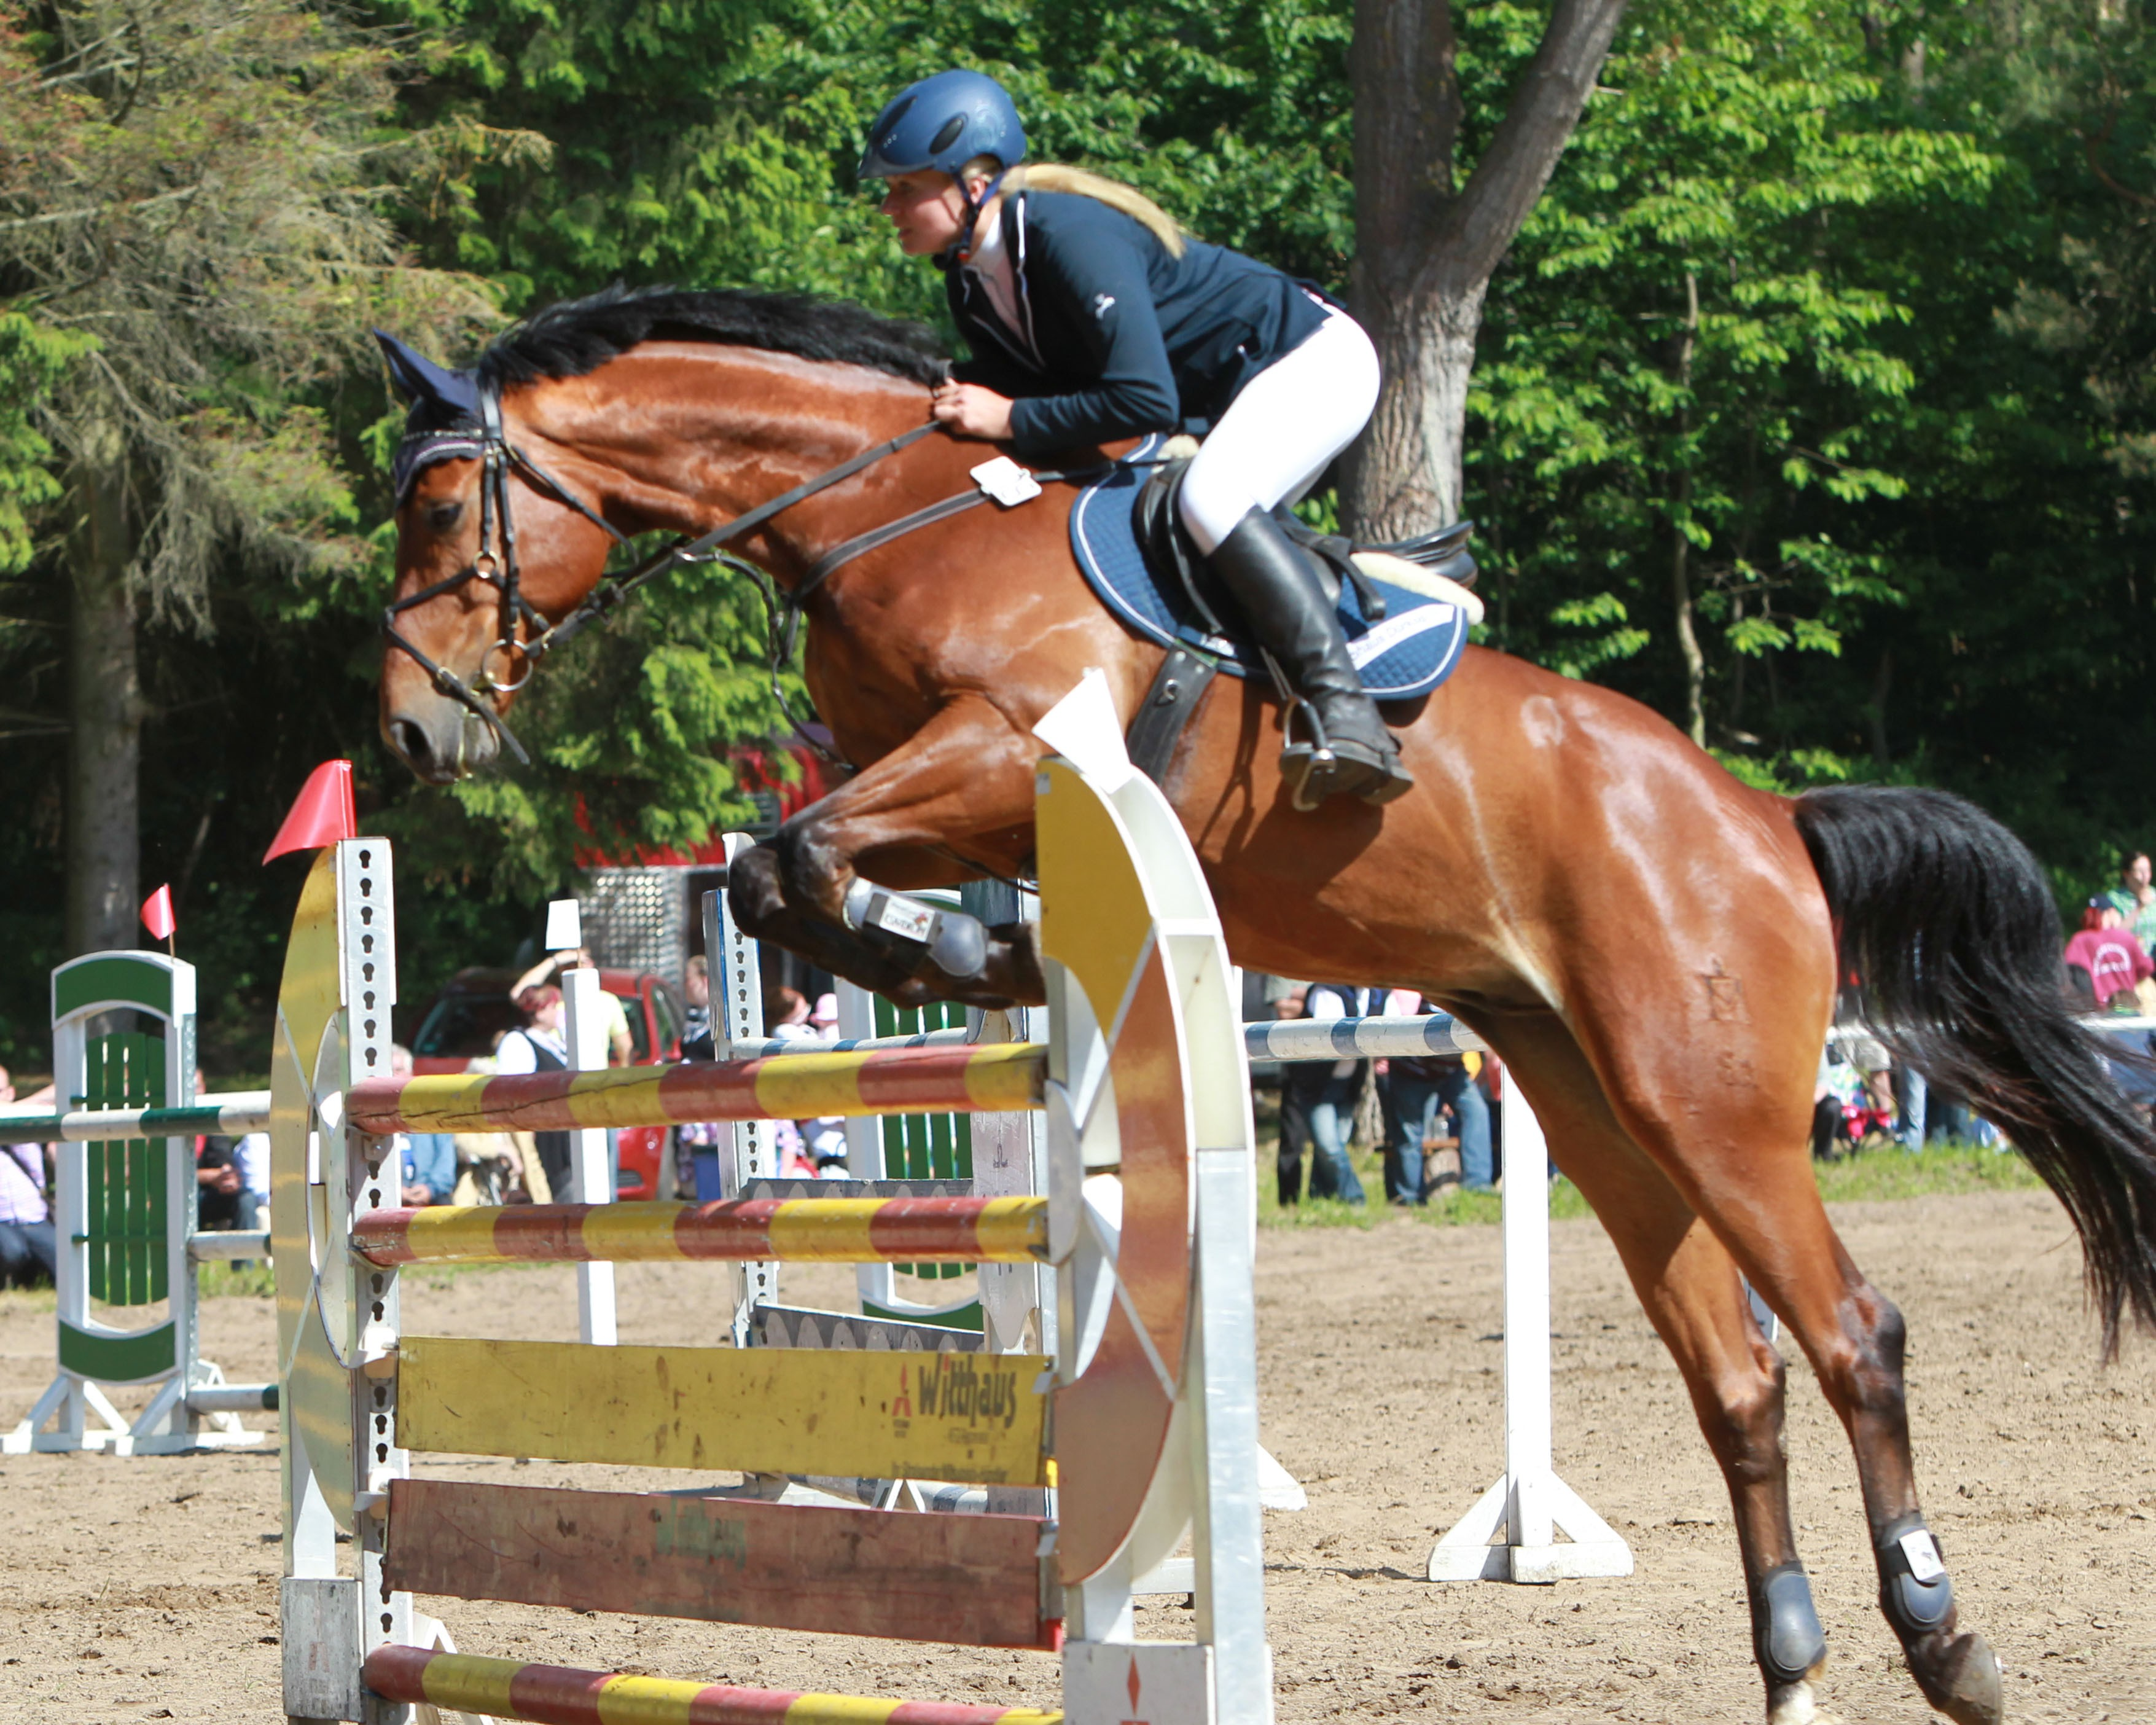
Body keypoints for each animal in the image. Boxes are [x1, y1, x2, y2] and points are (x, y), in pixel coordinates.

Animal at [375, 286, 2156, 1725]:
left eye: (446, 501)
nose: (404, 732)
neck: (893, 505)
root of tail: (1765, 821)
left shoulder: (1005, 744)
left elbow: (791, 854)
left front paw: (950, 957)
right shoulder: (930, 785)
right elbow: (770, 872)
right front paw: (959, 957)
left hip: (1707, 1103)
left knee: (1852, 1333)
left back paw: (1944, 1641)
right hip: (1591, 1101)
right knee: (1740, 1381)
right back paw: (1789, 1669)